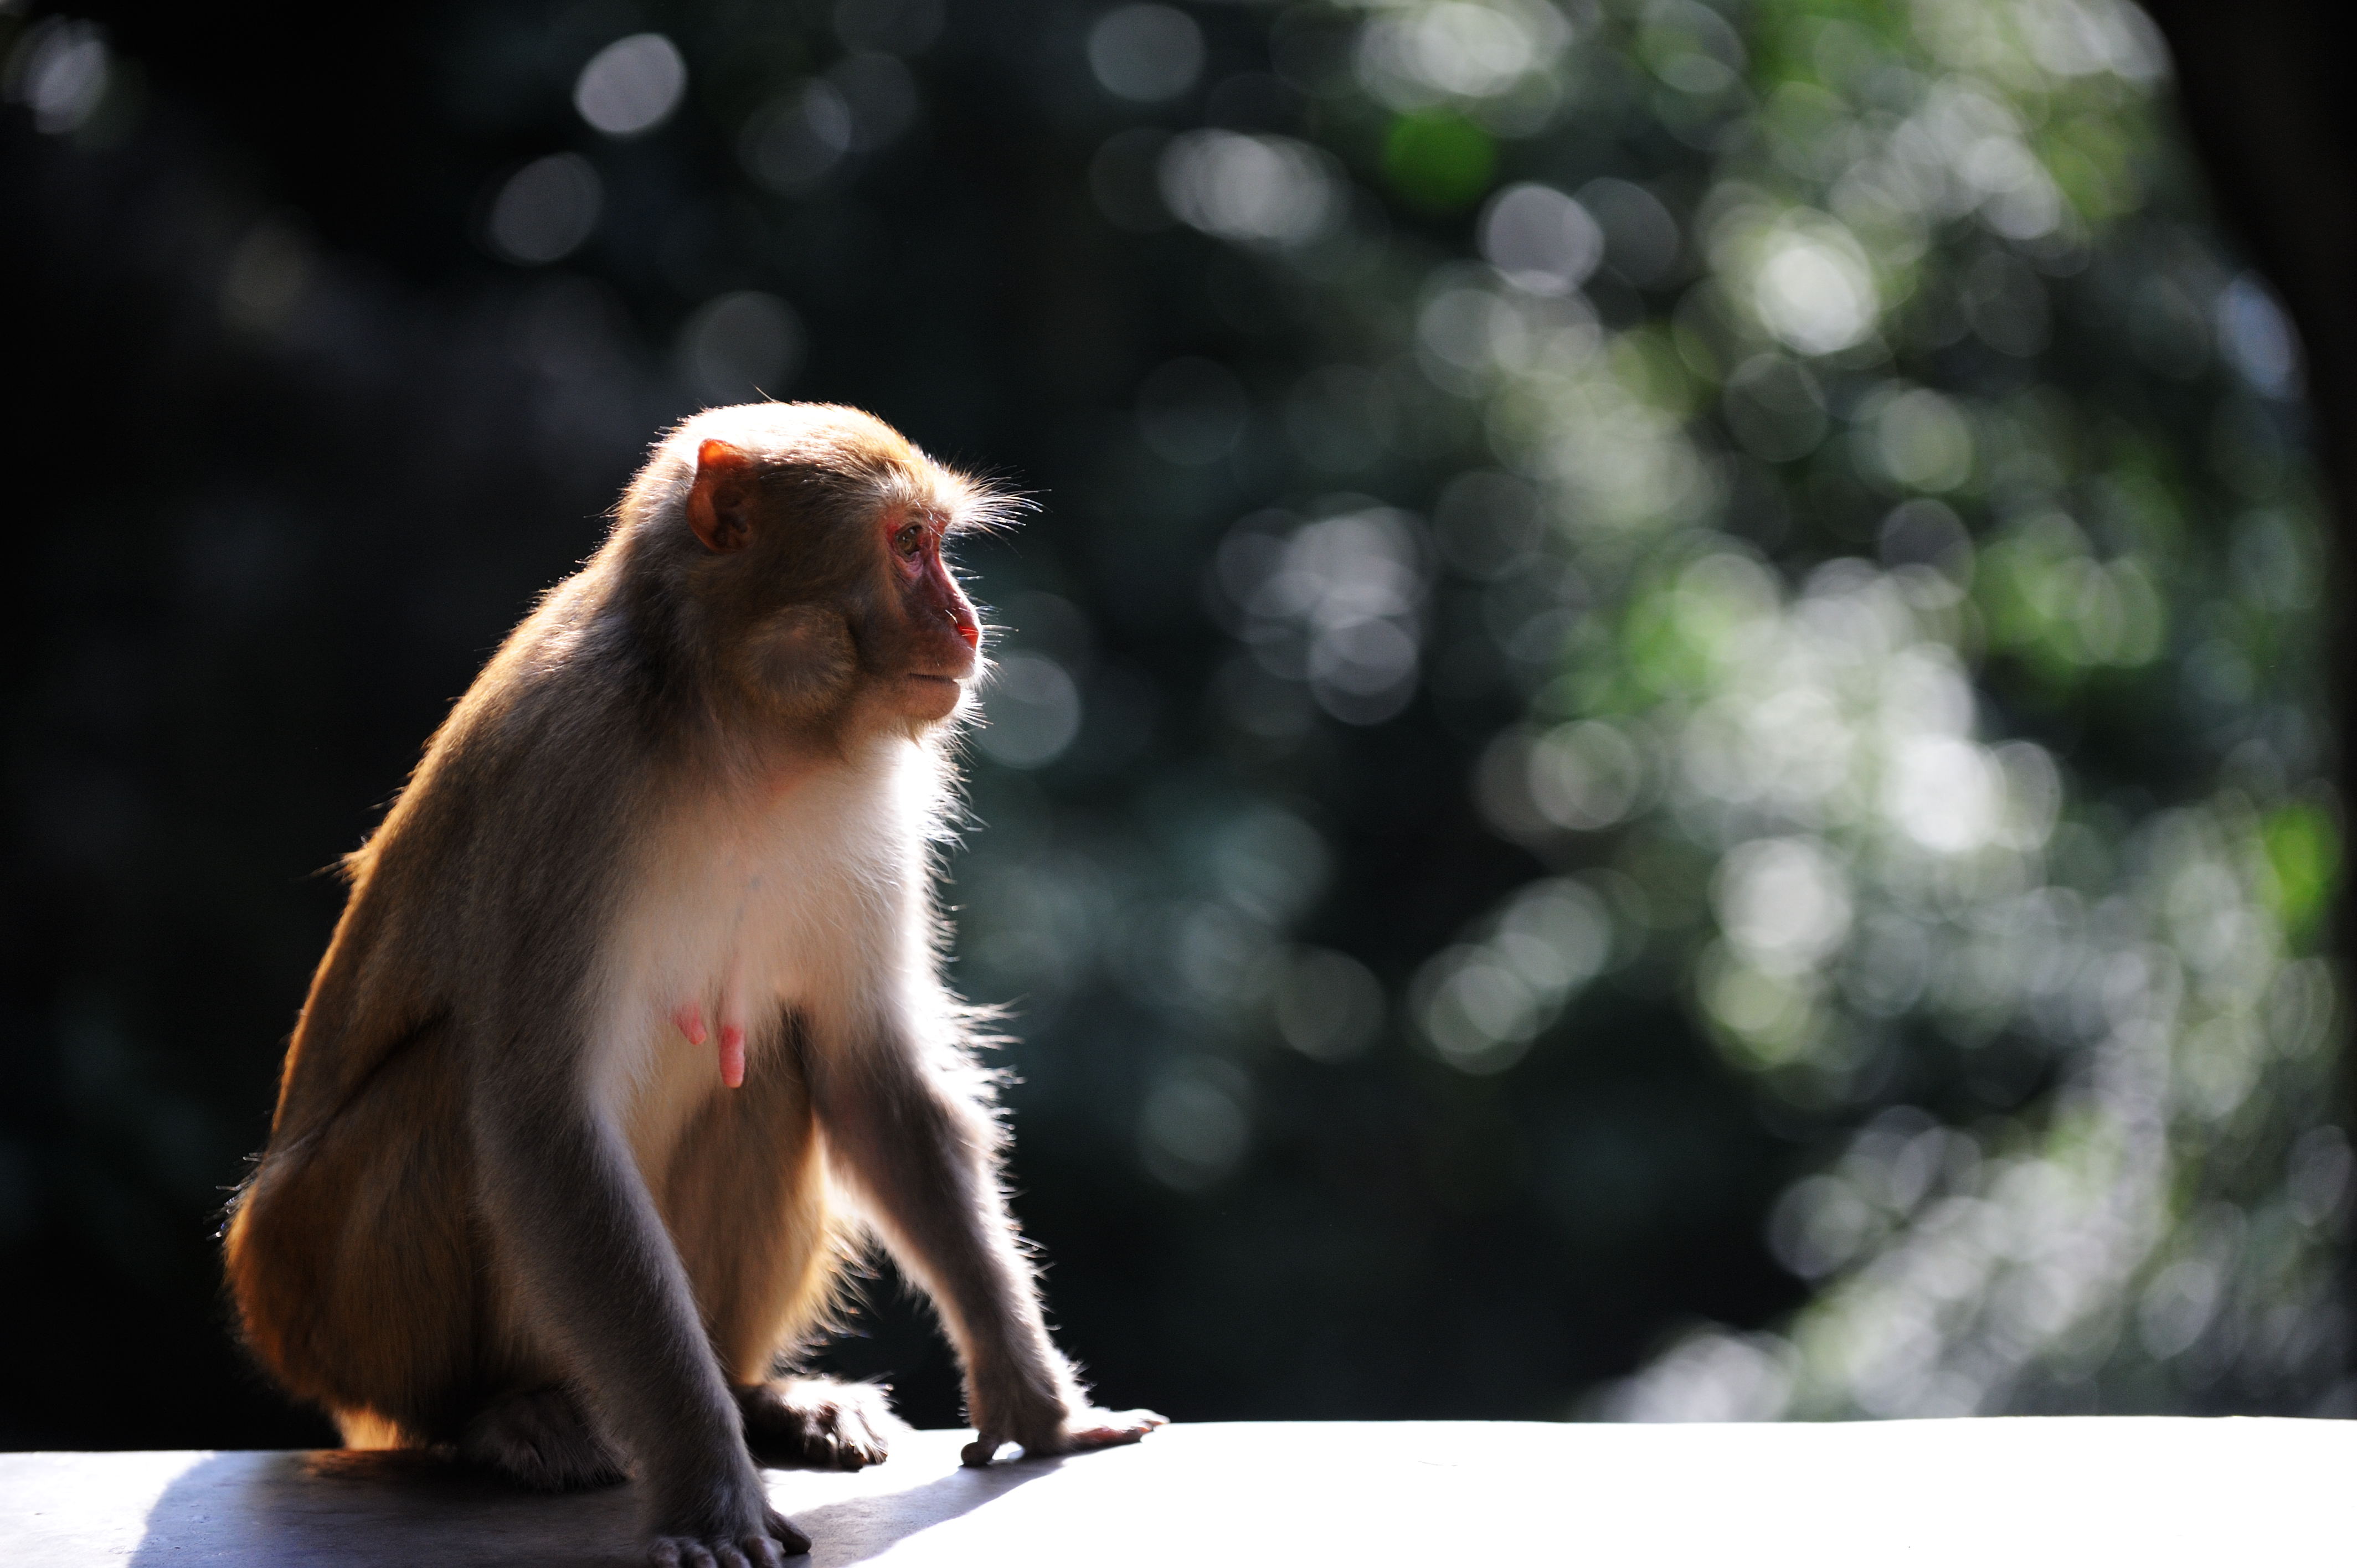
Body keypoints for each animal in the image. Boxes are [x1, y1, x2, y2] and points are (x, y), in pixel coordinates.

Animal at [225, 403, 1164, 1565]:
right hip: (317, 1306)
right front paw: (711, 1493)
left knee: (764, 1064)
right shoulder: (567, 776)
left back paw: (759, 1393)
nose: (967, 624)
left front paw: (1040, 1406)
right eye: (908, 546)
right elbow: (544, 1123)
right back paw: (500, 1413)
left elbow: (873, 1077)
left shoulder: (877, 810)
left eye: (938, 544)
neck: (744, 728)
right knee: (451, 1093)